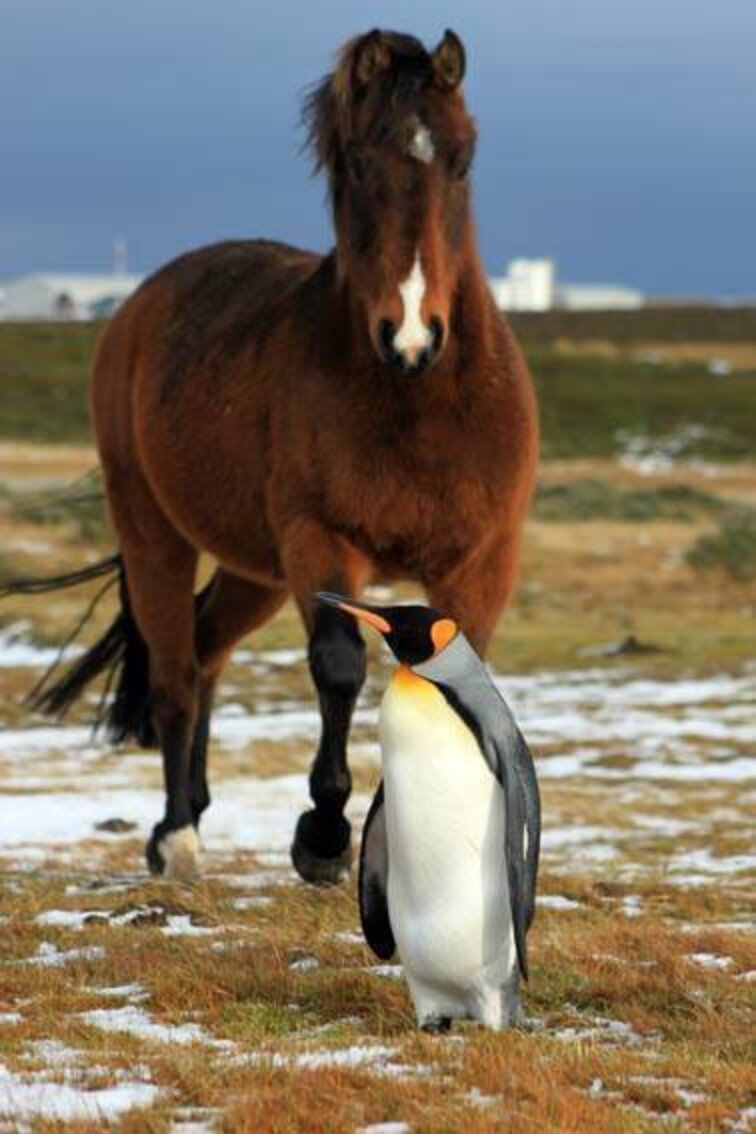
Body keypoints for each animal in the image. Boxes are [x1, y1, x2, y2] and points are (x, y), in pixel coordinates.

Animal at [5, 29, 538, 885]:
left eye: (462, 158)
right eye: (357, 160)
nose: (412, 334)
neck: (417, 403)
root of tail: (140, 304)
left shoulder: (483, 559)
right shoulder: (320, 542)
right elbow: (340, 667)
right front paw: (321, 837)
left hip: (252, 570)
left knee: (207, 649)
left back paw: (193, 809)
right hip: (157, 533)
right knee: (176, 670)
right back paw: (175, 834)